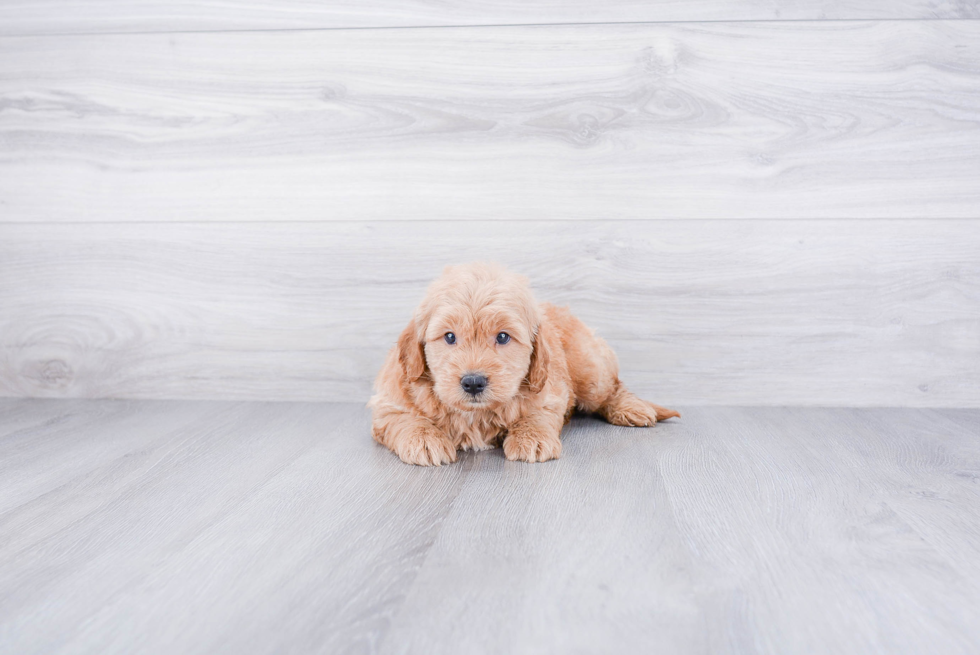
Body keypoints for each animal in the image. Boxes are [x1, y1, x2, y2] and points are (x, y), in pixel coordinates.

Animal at [370, 262, 680, 466]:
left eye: (503, 337)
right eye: (449, 337)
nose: (473, 382)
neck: (476, 414)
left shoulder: (550, 390)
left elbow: (537, 413)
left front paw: (532, 438)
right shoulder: (388, 402)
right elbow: (403, 418)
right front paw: (425, 439)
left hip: (591, 371)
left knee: (613, 387)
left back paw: (632, 408)